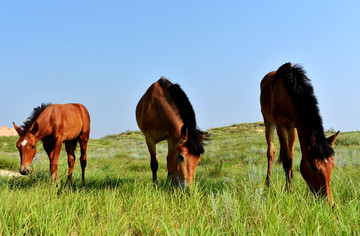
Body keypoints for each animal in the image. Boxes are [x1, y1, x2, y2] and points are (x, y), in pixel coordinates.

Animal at [260, 62, 338, 203]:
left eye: (333, 165)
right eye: (313, 167)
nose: (329, 203)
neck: (288, 93)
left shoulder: (294, 126)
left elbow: (291, 156)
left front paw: (292, 182)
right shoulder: (280, 125)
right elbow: (286, 159)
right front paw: (289, 191)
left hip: (292, 130)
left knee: (290, 152)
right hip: (268, 122)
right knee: (271, 153)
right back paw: (268, 184)